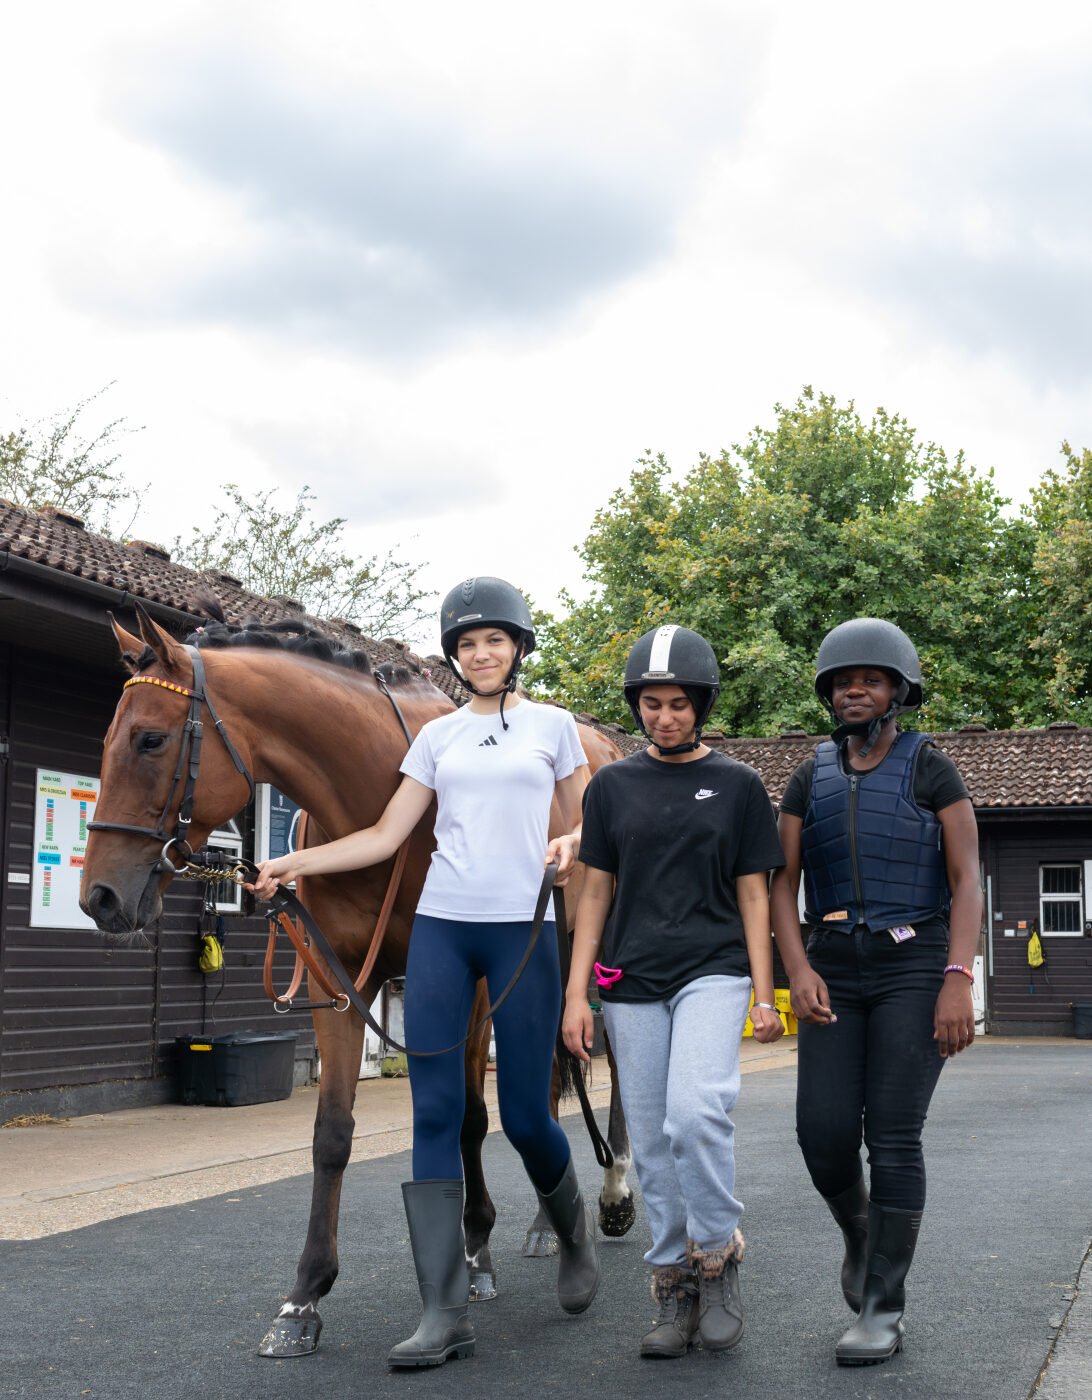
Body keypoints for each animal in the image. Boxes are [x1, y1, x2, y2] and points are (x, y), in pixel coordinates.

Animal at [78, 610, 630, 1355]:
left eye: (150, 739)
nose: (100, 897)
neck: (379, 799)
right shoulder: (337, 986)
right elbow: (333, 1133)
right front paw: (304, 1297)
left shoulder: (476, 986)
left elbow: (471, 1117)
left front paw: (474, 1253)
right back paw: (548, 1226)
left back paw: (616, 1195)